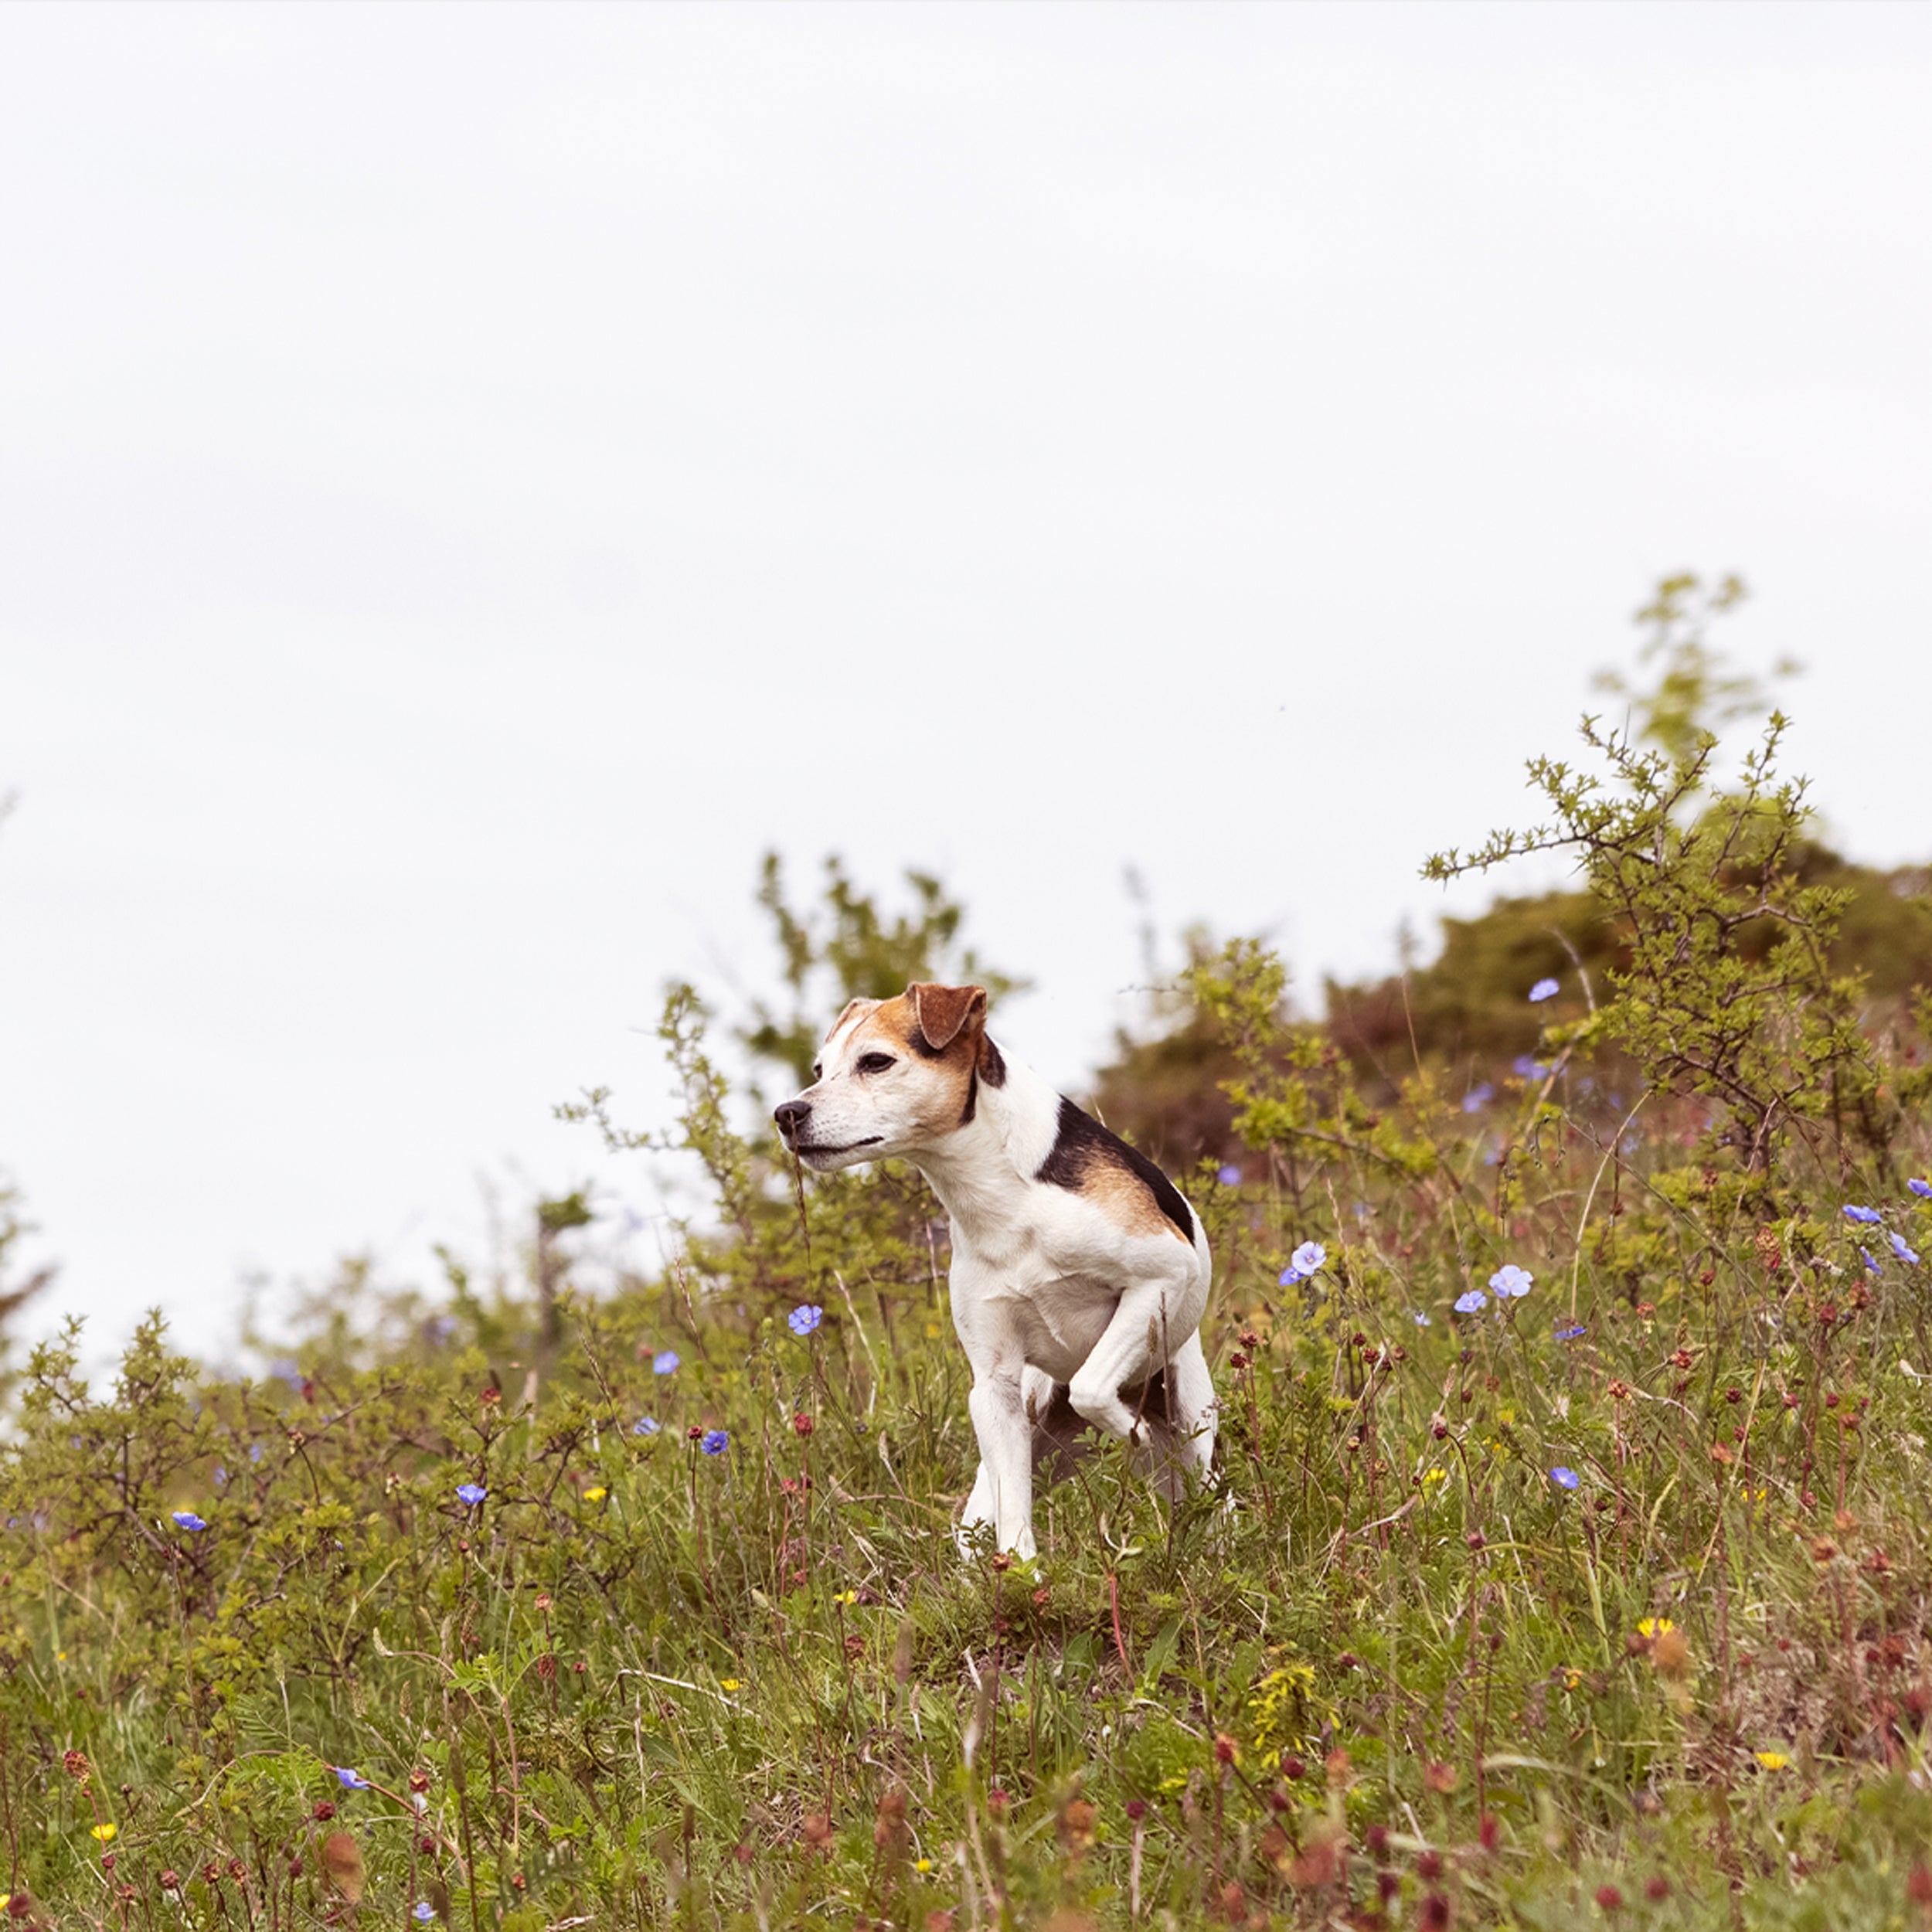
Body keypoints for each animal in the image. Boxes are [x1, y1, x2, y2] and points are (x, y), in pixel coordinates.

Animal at [765, 981, 1206, 1553]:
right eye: (820, 1069)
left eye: (876, 1061)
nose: (786, 1113)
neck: (1003, 1198)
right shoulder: (994, 1387)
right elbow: (1015, 1523)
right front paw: (1023, 1569)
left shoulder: (1165, 1277)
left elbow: (1090, 1385)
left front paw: (1128, 1429)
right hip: (1013, 1446)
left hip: (1196, 1430)